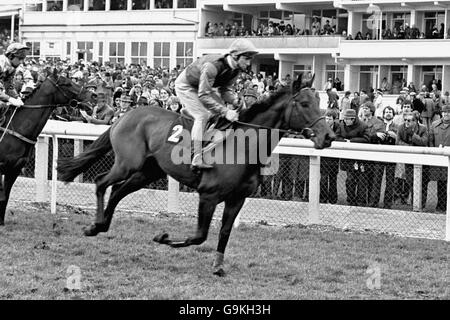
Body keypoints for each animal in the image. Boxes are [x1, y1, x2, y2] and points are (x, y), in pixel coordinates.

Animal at [57, 72, 334, 276]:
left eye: (321, 103)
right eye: (305, 104)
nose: (329, 136)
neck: (242, 147)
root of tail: (125, 115)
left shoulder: (237, 199)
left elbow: (224, 233)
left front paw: (218, 267)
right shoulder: (208, 195)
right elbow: (200, 236)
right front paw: (162, 237)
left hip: (147, 172)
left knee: (117, 190)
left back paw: (101, 225)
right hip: (128, 164)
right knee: (102, 182)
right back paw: (94, 225)